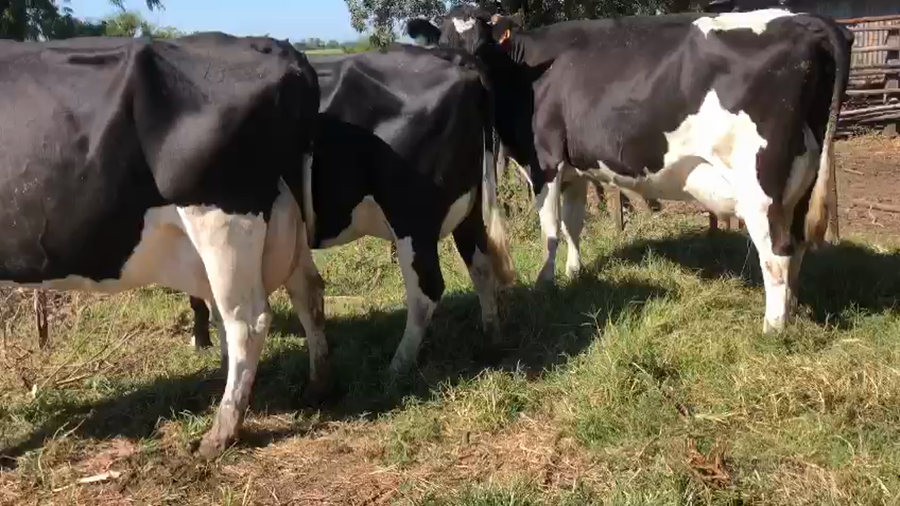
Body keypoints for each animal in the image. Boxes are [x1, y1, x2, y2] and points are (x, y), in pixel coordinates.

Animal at [0, 33, 320, 459]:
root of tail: (278, 47)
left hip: (224, 220)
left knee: (247, 321)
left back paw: (221, 432)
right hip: (286, 214)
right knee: (307, 291)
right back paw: (319, 384)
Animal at [186, 43, 516, 379]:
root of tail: (458, 60)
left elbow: (203, 297)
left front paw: (204, 341)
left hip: (413, 216)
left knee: (427, 289)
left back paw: (397, 366)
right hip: (469, 208)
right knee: (481, 265)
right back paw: (491, 340)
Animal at [408, 5, 852, 333]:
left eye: (483, 45)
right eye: (443, 44)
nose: (469, 75)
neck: (526, 70)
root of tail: (805, 19)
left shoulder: (545, 160)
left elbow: (549, 228)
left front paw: (545, 282)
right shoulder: (575, 169)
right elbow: (573, 224)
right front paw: (575, 272)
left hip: (760, 185)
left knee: (776, 253)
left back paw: (773, 328)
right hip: (801, 178)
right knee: (796, 247)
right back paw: (792, 307)